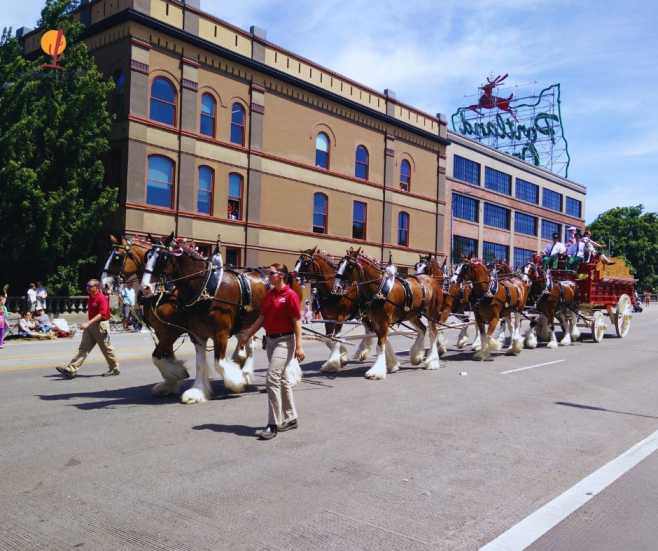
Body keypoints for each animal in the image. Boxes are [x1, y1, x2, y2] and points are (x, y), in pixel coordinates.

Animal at [141, 237, 302, 396]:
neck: (206, 287)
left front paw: (236, 382)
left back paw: (290, 375)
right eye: (146, 257)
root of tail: (289, 274)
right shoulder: (196, 333)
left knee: (291, 345)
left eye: (163, 258)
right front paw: (196, 391)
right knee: (250, 343)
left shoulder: (219, 333)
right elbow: (198, 363)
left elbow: (219, 363)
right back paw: (246, 371)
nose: (145, 288)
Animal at [334, 249, 440, 380]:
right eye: (339, 264)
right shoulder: (376, 320)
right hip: (412, 314)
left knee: (433, 333)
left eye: (350, 266)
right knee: (422, 329)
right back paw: (416, 356)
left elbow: (380, 344)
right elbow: (383, 341)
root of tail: (430, 279)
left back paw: (432, 361)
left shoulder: (383, 321)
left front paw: (376, 371)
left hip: (431, 313)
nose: (337, 287)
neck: (379, 289)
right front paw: (392, 364)